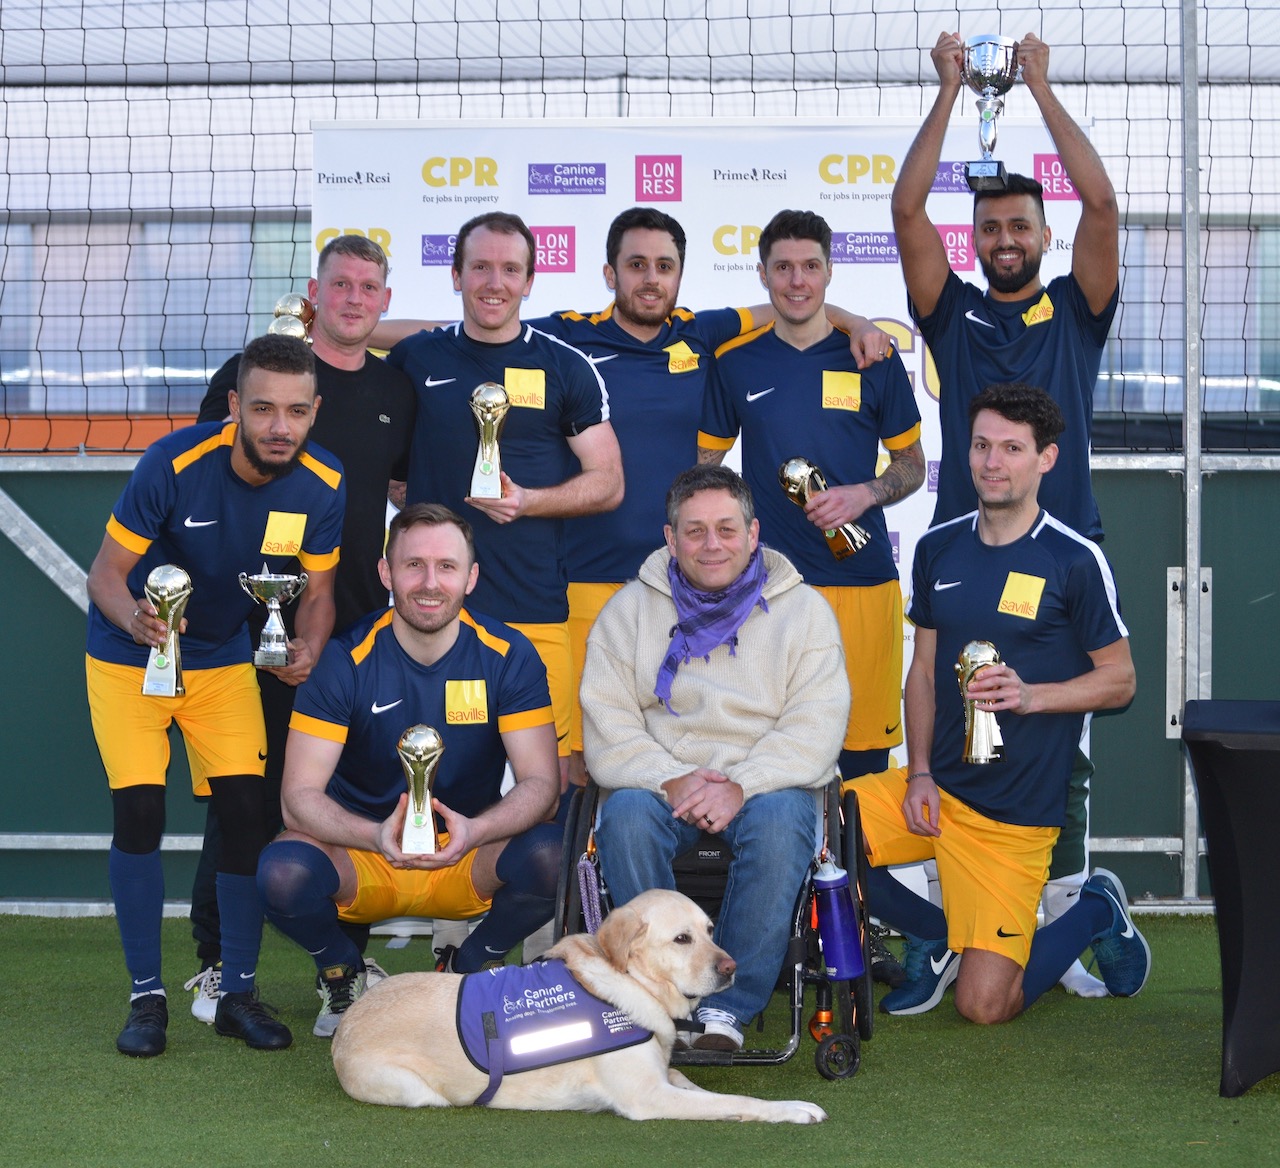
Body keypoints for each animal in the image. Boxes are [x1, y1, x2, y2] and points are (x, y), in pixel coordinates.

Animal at [332, 889, 826, 1123]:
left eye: (709, 929)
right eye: (682, 939)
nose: (731, 967)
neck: (633, 983)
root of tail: (345, 1026)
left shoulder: (663, 1078)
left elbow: (698, 1084)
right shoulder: (647, 1096)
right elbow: (735, 1100)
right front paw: (792, 1110)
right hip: (418, 1090)